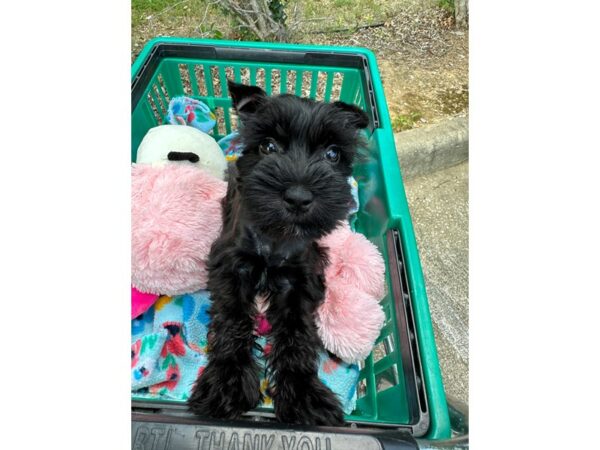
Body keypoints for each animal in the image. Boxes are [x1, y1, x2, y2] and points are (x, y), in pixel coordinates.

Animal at [188, 80, 368, 426]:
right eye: (269, 146)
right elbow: (232, 321)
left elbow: (297, 334)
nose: (298, 197)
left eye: (332, 153)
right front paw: (226, 385)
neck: (275, 237)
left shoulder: (299, 279)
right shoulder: (233, 267)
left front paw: (303, 394)